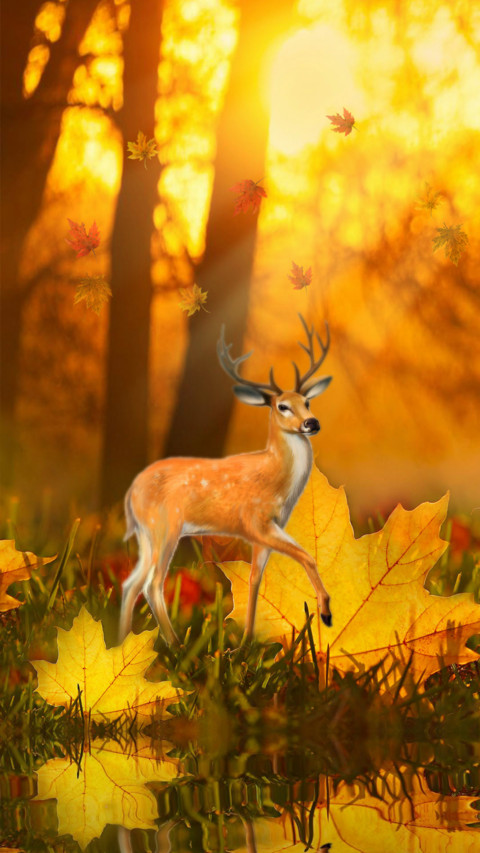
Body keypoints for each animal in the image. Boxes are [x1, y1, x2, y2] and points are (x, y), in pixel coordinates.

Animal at [118, 314, 333, 646]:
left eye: (307, 401)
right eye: (282, 406)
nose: (312, 423)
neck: (277, 478)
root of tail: (130, 493)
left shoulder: (268, 530)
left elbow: (256, 579)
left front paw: (247, 641)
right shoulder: (255, 522)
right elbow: (306, 556)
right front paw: (325, 612)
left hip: (147, 534)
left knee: (130, 583)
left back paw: (122, 643)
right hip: (165, 525)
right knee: (152, 584)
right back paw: (176, 646)